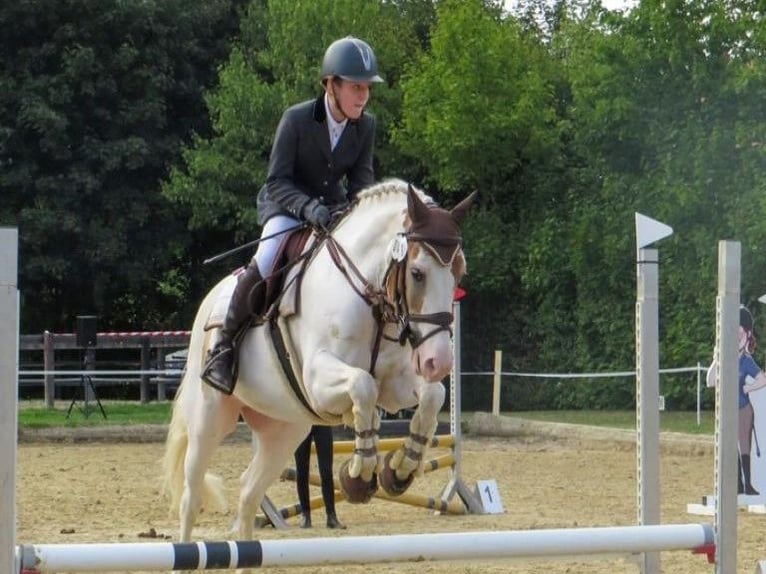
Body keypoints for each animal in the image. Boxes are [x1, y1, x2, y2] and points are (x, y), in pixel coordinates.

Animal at [162, 180, 474, 544]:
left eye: (459, 272)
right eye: (417, 273)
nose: (438, 361)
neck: (366, 295)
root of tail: (211, 299)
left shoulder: (395, 383)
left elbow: (432, 395)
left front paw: (399, 469)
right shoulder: (318, 379)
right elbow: (363, 386)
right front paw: (359, 476)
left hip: (285, 429)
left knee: (249, 492)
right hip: (209, 419)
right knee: (192, 494)